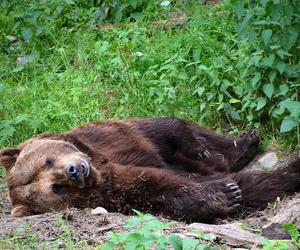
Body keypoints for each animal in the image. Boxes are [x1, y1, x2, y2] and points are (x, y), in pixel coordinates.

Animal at [0, 117, 298, 223]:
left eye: (47, 161)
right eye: (56, 188)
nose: (75, 170)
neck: (98, 163)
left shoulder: (110, 137)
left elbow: (162, 128)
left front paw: (197, 147)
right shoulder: (116, 186)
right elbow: (160, 187)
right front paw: (225, 195)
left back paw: (246, 142)